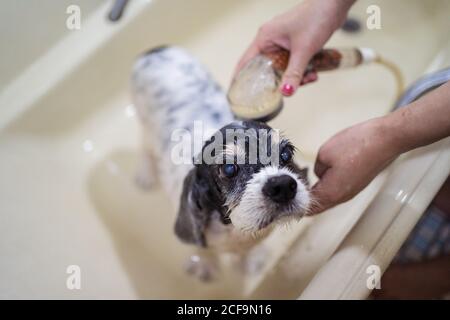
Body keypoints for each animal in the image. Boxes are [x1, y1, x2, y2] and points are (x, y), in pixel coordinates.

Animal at [132, 45, 312, 280]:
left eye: (286, 154)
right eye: (228, 168)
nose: (281, 186)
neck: (233, 228)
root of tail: (155, 50)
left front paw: (250, 261)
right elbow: (201, 249)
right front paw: (204, 265)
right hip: (144, 121)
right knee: (145, 147)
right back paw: (145, 174)